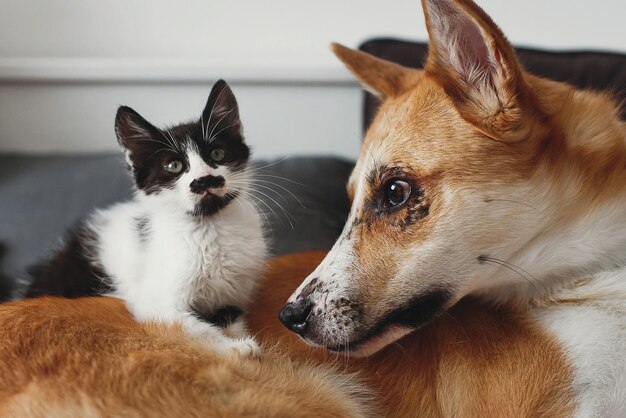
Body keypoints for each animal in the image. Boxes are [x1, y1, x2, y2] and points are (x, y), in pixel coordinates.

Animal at [25, 79, 266, 356]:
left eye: (217, 154)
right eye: (174, 166)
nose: (204, 179)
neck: (210, 226)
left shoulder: (235, 292)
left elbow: (230, 316)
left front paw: (238, 339)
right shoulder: (151, 302)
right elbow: (190, 326)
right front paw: (233, 348)